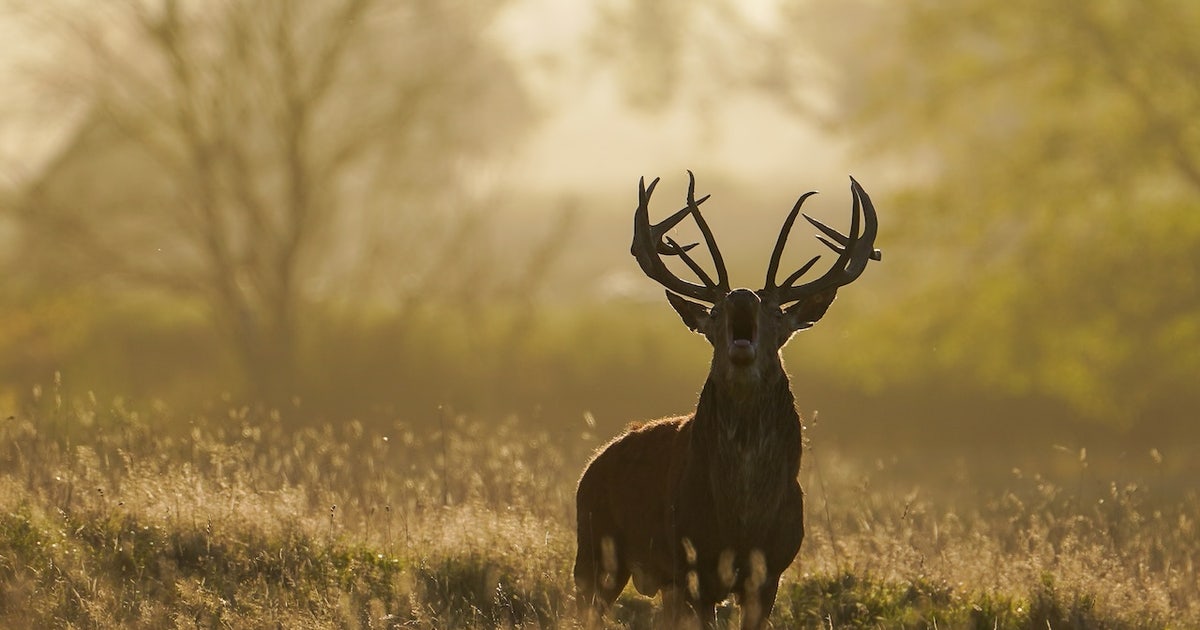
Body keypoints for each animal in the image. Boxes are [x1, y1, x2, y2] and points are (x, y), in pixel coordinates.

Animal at [574, 172, 881, 629]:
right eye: (714, 313)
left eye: (777, 313)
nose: (740, 296)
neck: (741, 521)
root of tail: (592, 464)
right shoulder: (692, 564)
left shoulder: (770, 569)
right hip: (594, 548)